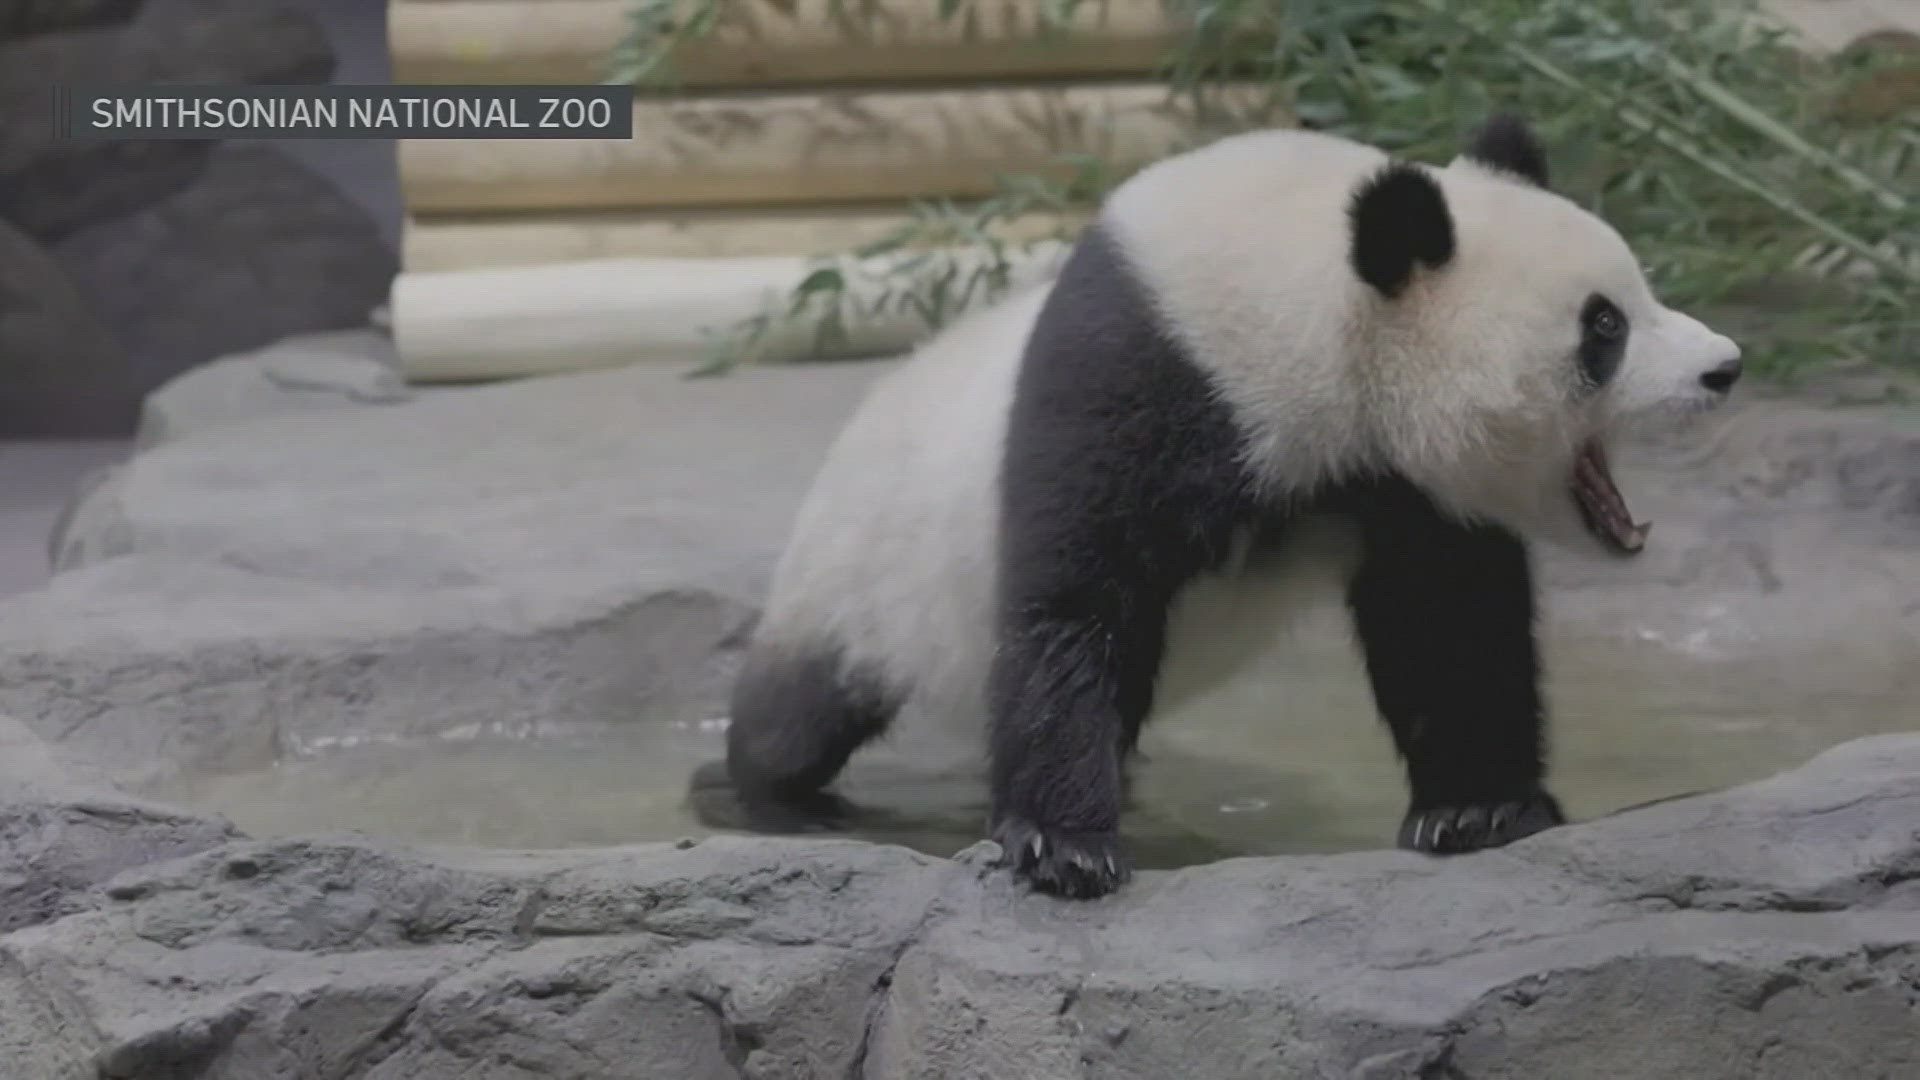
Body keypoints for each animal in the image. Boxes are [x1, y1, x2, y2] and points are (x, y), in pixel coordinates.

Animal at [714, 113, 1751, 895]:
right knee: (797, 715)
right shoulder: (1140, 373)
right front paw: (1063, 847)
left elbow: (1449, 624)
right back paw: (766, 796)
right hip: (856, 573)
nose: (1725, 366)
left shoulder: (1402, 482)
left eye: (1639, 292)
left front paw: (1480, 808)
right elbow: (1076, 600)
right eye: (1603, 327)